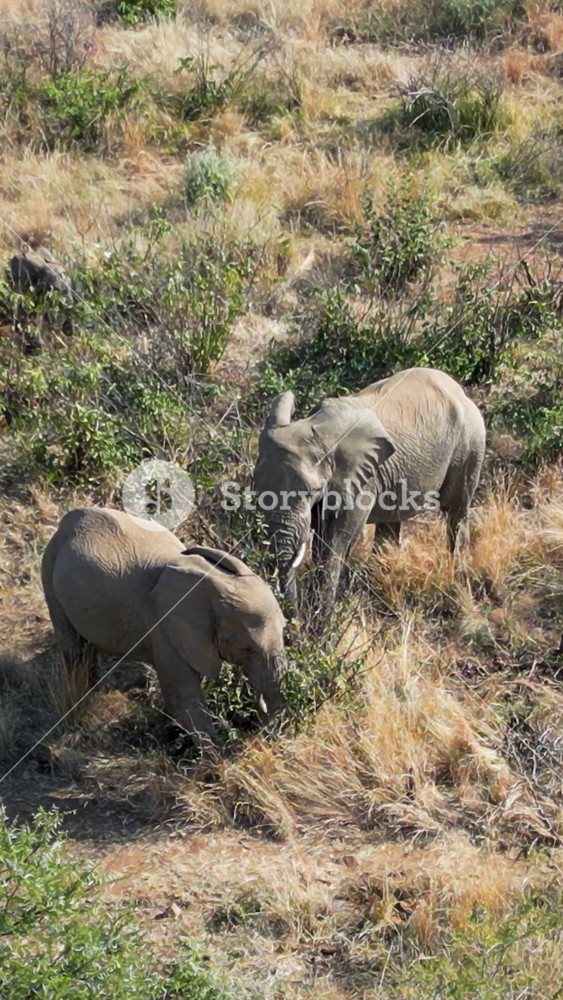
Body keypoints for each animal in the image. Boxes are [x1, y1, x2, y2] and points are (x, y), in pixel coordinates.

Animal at [41, 508, 287, 750]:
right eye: (248, 649)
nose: (255, 733)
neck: (215, 579)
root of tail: (64, 523)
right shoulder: (165, 625)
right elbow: (181, 696)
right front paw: (215, 757)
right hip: (49, 570)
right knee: (75, 649)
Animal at [254, 367, 486, 612]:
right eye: (256, 487)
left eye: (312, 490)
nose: (292, 618)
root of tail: (458, 389)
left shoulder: (361, 481)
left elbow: (335, 541)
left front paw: (321, 620)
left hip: (470, 444)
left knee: (456, 510)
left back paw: (457, 575)